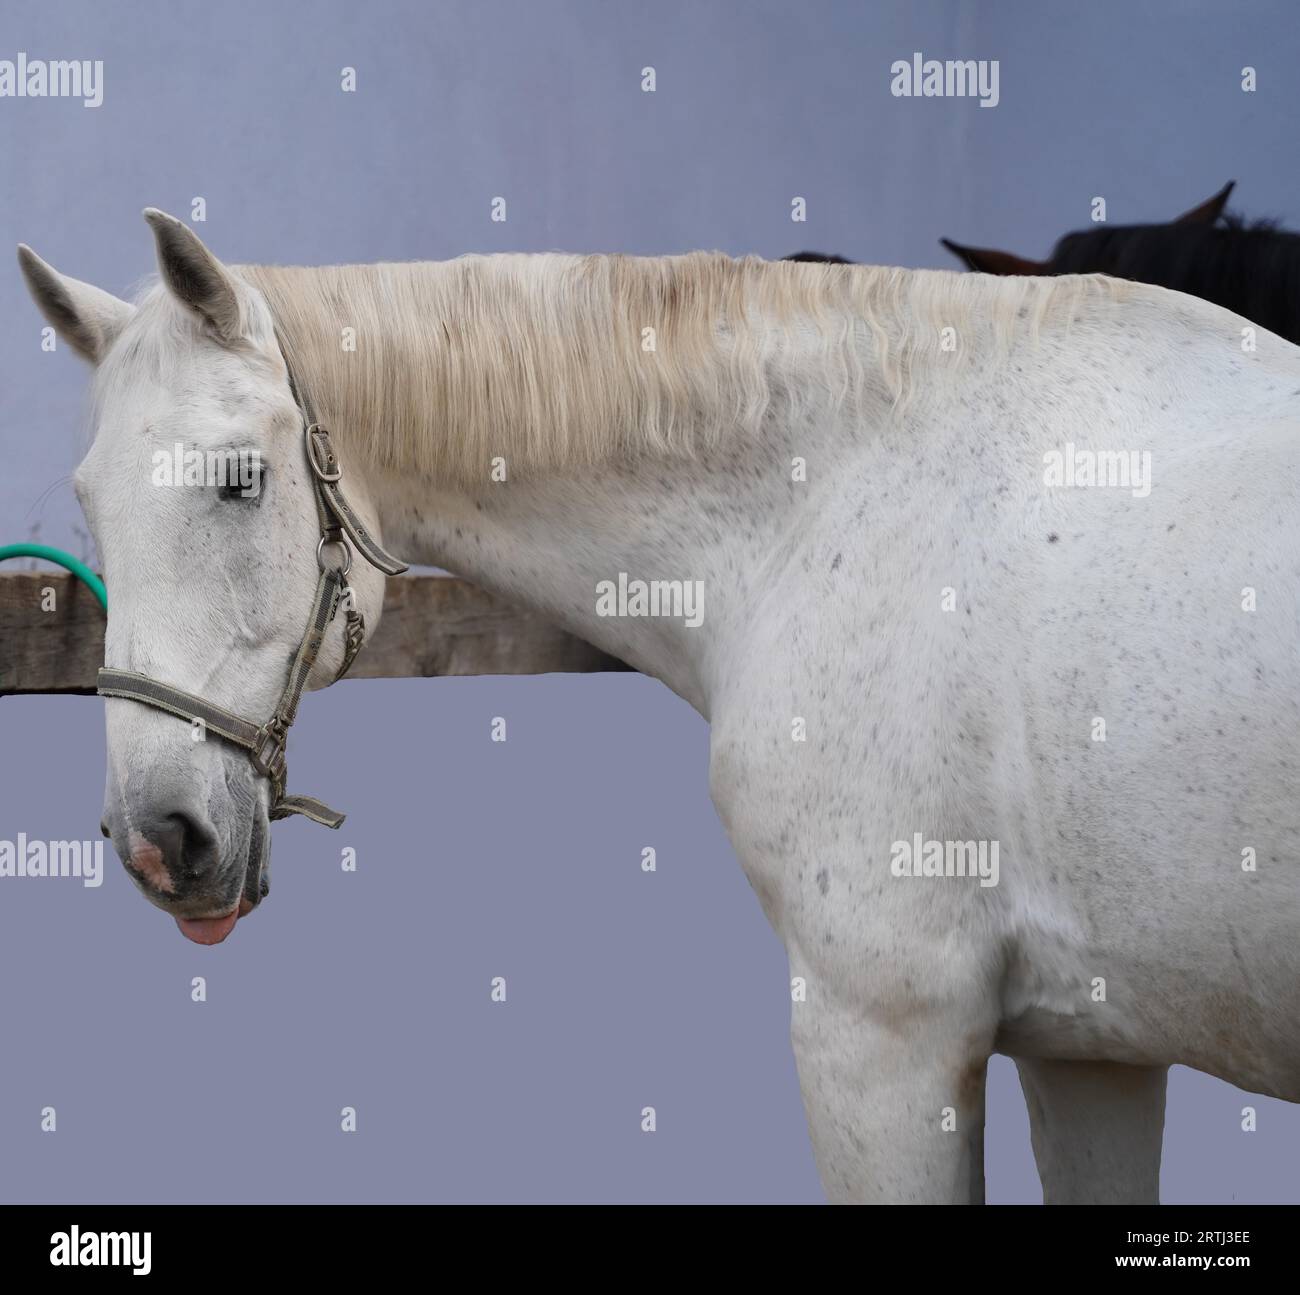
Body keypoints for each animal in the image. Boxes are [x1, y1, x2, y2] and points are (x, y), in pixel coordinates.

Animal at [17, 210, 1300, 1204]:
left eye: (239, 481)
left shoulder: (883, 1037)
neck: (841, 492)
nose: (162, 840)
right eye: (88, 500)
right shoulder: (1092, 1051)